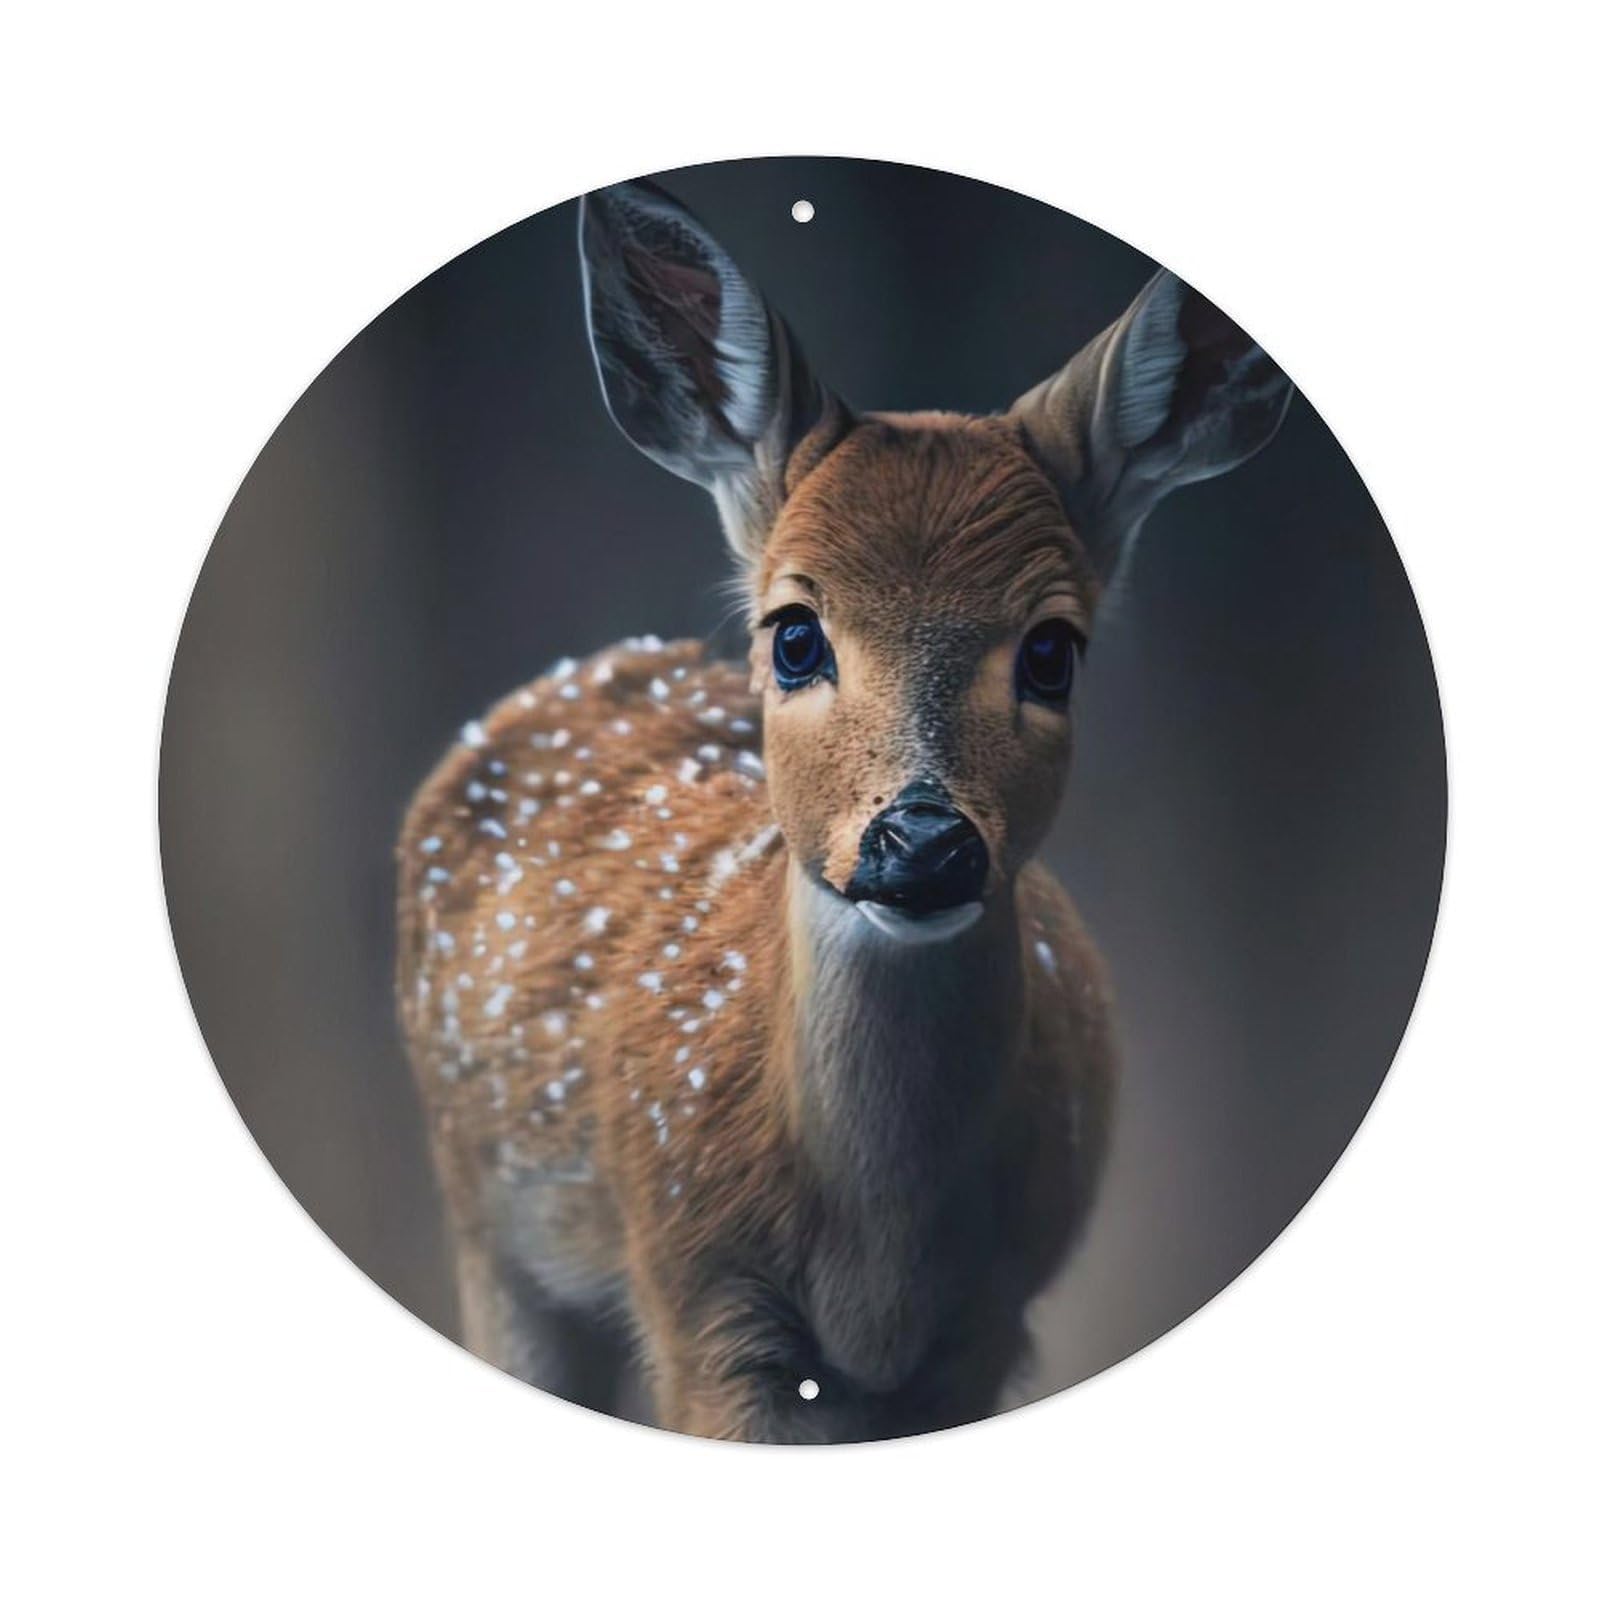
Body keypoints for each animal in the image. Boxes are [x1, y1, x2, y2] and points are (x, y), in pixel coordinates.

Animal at [396, 178, 1291, 1443]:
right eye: (794, 634)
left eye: (1053, 650)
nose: (922, 840)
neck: (879, 1267)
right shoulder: (697, 1281)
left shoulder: (993, 1312)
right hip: (490, 1226)